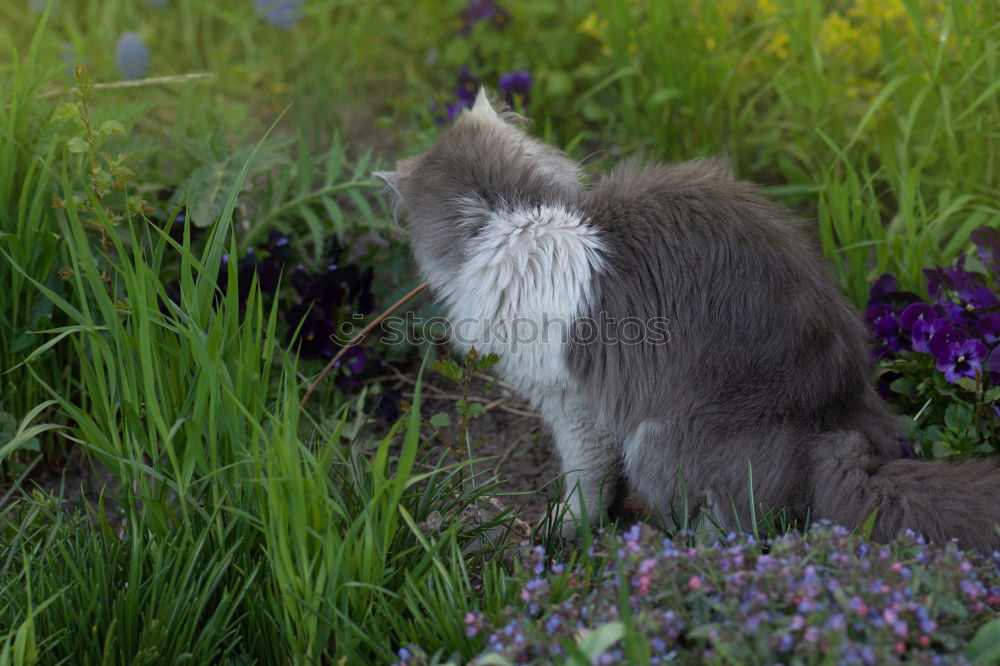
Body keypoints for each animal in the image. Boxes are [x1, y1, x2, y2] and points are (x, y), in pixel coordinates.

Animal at [376, 91, 1000, 552]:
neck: (517, 215)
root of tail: (838, 428)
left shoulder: (572, 403)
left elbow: (585, 480)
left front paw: (564, 524)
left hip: (657, 438)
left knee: (731, 527)